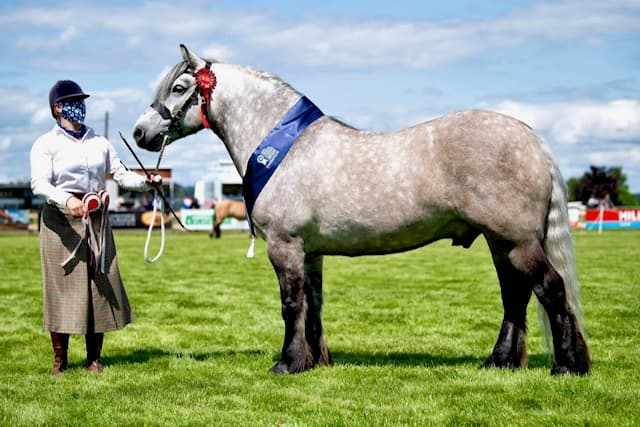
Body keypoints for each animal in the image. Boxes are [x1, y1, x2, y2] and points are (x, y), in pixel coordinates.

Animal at [132, 44, 590, 376]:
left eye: (180, 88)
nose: (139, 133)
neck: (285, 146)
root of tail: (530, 137)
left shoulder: (284, 246)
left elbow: (291, 304)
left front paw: (287, 363)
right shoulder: (310, 252)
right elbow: (313, 304)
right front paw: (314, 361)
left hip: (516, 241)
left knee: (550, 289)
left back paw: (569, 367)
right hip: (501, 242)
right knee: (515, 295)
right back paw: (500, 363)